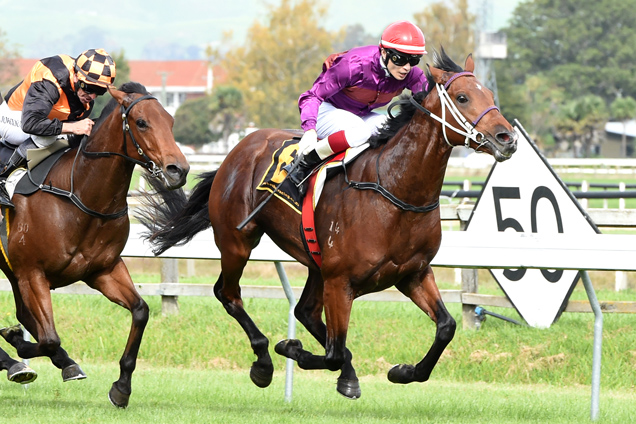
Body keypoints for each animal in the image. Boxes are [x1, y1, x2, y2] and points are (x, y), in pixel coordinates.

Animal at [0, 81, 189, 406]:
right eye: (142, 122)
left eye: (170, 120)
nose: (179, 169)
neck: (79, 195)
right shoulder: (32, 273)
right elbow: (49, 338)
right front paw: (16, 342)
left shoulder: (103, 270)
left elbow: (140, 310)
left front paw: (121, 387)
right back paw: (15, 364)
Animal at [139, 49, 516, 398]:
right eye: (463, 97)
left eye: (490, 94)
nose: (506, 138)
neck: (394, 188)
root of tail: (238, 149)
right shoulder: (341, 281)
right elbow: (333, 352)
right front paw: (290, 347)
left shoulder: (412, 273)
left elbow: (446, 327)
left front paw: (402, 371)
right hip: (238, 240)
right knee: (228, 293)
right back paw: (264, 362)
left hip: (315, 263)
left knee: (305, 311)